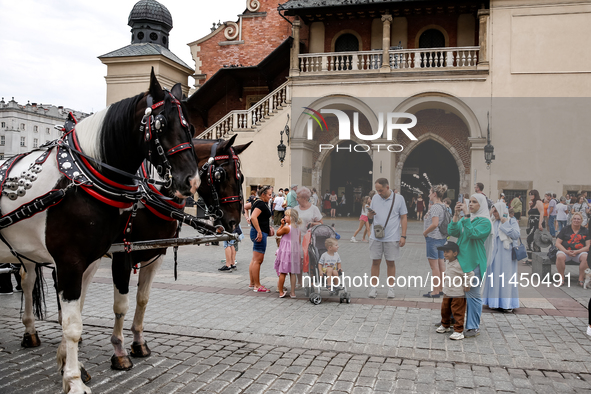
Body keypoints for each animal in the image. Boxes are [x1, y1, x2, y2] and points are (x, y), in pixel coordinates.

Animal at [6, 69, 199, 392]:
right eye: (161, 124)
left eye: (191, 127)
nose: (191, 181)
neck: (79, 181)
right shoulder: (84, 260)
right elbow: (77, 323)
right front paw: (75, 378)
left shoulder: (98, 259)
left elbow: (88, 312)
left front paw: (70, 364)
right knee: (29, 282)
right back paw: (31, 332)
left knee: (30, 280)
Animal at [107, 135, 251, 370]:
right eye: (221, 174)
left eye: (242, 177)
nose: (234, 223)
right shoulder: (122, 254)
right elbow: (121, 305)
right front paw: (119, 351)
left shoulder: (154, 253)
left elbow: (142, 298)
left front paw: (139, 343)